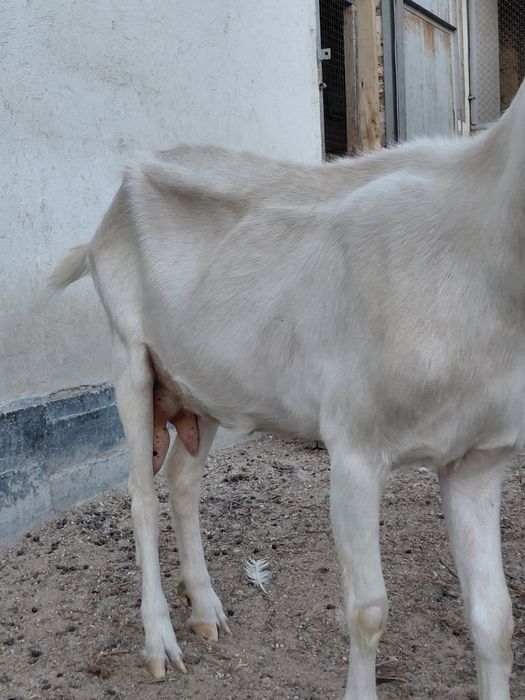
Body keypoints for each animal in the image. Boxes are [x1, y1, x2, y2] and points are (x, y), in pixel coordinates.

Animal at [50, 79, 525, 699]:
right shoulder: (354, 444)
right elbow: (368, 610)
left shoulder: (479, 458)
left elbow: (495, 620)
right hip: (129, 354)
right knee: (139, 497)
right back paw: (160, 641)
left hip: (202, 383)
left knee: (181, 480)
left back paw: (205, 609)